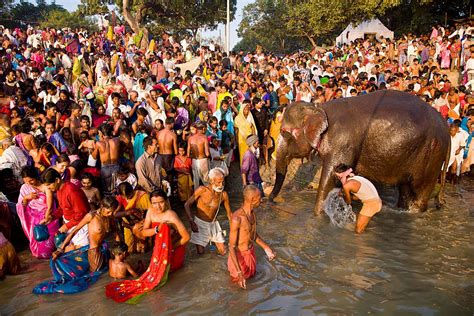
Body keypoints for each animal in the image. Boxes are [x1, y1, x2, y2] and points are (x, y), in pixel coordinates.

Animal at [268, 89, 450, 215]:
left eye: (284, 132)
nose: (271, 200)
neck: (319, 108)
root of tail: (445, 128)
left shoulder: (342, 142)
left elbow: (329, 179)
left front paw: (317, 215)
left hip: (432, 154)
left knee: (419, 192)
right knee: (405, 190)